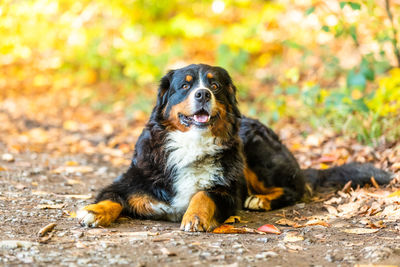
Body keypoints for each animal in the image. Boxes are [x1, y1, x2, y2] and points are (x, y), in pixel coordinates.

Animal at [76, 64, 392, 232]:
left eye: (214, 85)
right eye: (185, 86)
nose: (203, 94)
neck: (191, 144)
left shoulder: (227, 192)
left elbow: (203, 194)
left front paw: (195, 217)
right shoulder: (130, 181)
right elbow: (112, 197)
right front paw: (94, 211)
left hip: (256, 150)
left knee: (295, 189)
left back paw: (261, 200)